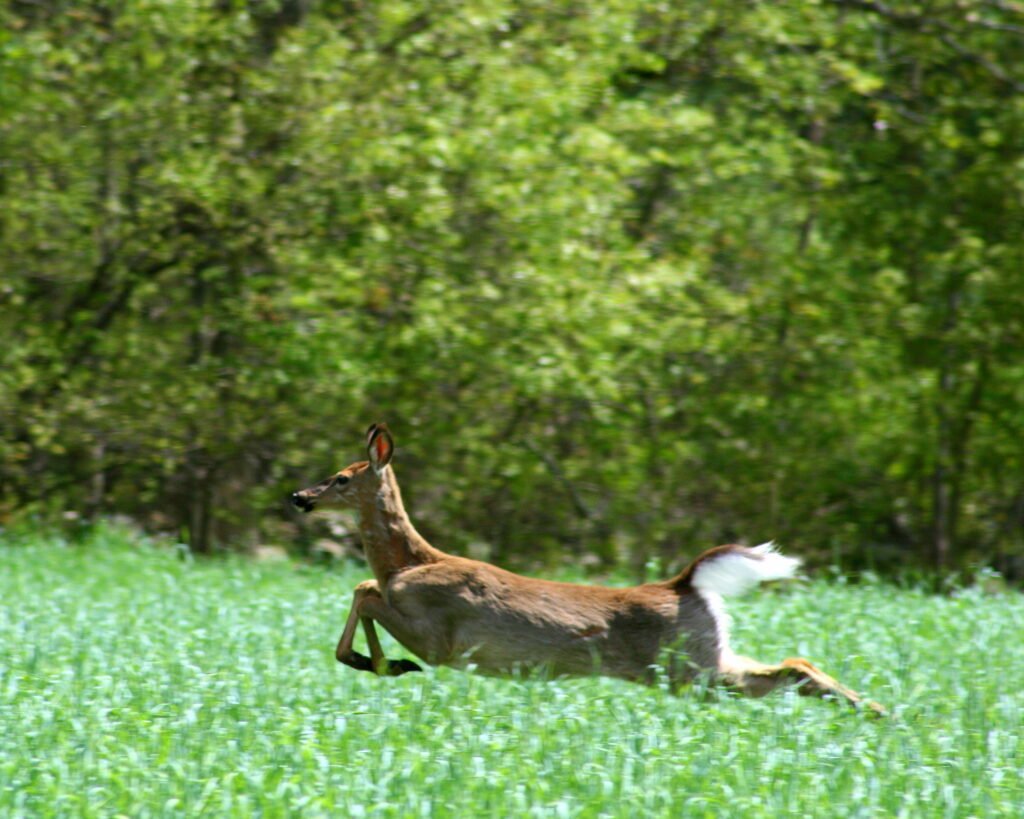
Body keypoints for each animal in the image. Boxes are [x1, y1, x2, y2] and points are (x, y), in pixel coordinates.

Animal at [291, 424, 884, 713]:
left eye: (342, 477)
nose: (300, 496)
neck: (409, 563)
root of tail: (684, 583)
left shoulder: (441, 639)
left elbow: (366, 589)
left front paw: (384, 664)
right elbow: (365, 586)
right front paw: (376, 663)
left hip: (686, 669)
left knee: (787, 669)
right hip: (702, 660)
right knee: (795, 664)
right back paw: (877, 712)